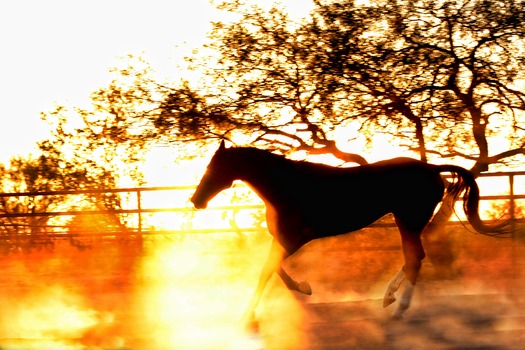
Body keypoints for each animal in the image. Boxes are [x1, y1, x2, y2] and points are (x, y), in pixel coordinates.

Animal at [190, 141, 506, 324]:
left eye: (214, 167)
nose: (196, 200)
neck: (285, 188)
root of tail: (432, 168)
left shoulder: (294, 239)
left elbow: (267, 270)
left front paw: (250, 312)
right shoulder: (283, 239)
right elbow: (273, 269)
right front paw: (304, 287)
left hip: (408, 221)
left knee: (415, 258)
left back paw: (398, 308)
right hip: (408, 222)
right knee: (412, 259)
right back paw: (389, 298)